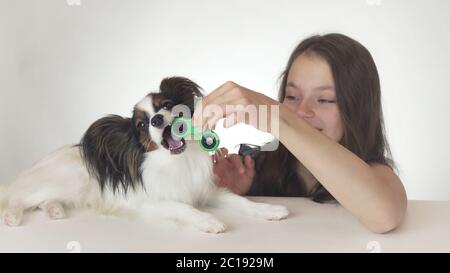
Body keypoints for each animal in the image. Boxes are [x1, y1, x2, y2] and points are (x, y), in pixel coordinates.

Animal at [0, 76, 288, 232]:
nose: (158, 119)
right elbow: (182, 207)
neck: (177, 161)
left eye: (168, 106)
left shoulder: (206, 192)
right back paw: (13, 216)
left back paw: (54, 211)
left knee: (41, 201)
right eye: (142, 124)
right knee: (18, 197)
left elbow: (240, 201)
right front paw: (208, 220)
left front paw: (269, 209)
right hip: (66, 181)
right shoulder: (150, 202)